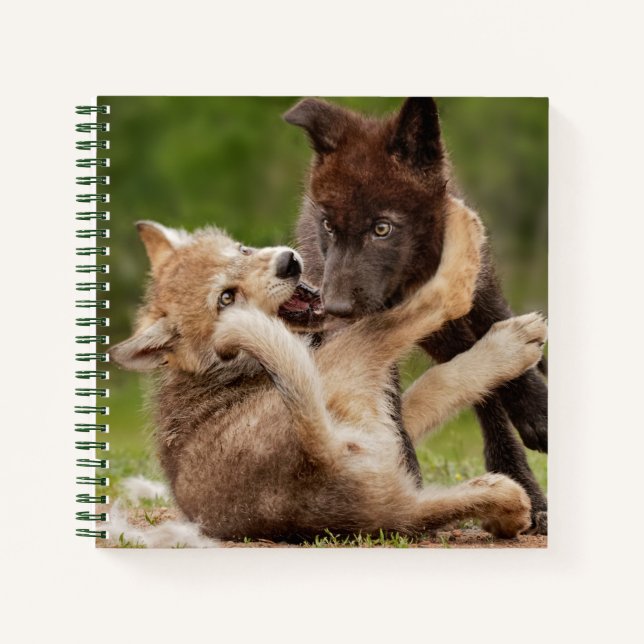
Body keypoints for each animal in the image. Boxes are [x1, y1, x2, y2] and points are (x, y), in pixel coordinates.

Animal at [109, 201, 546, 541]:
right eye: (226, 298)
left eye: (243, 249)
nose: (288, 263)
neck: (226, 369)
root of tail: (316, 457)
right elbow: (443, 371)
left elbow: (433, 390)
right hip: (354, 355)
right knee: (440, 300)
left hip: (398, 496)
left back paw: (508, 508)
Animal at [285, 97, 548, 532]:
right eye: (329, 227)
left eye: (382, 229)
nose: (334, 307)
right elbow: (392, 415)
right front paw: (405, 483)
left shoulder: (479, 296)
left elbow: (507, 352)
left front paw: (537, 411)